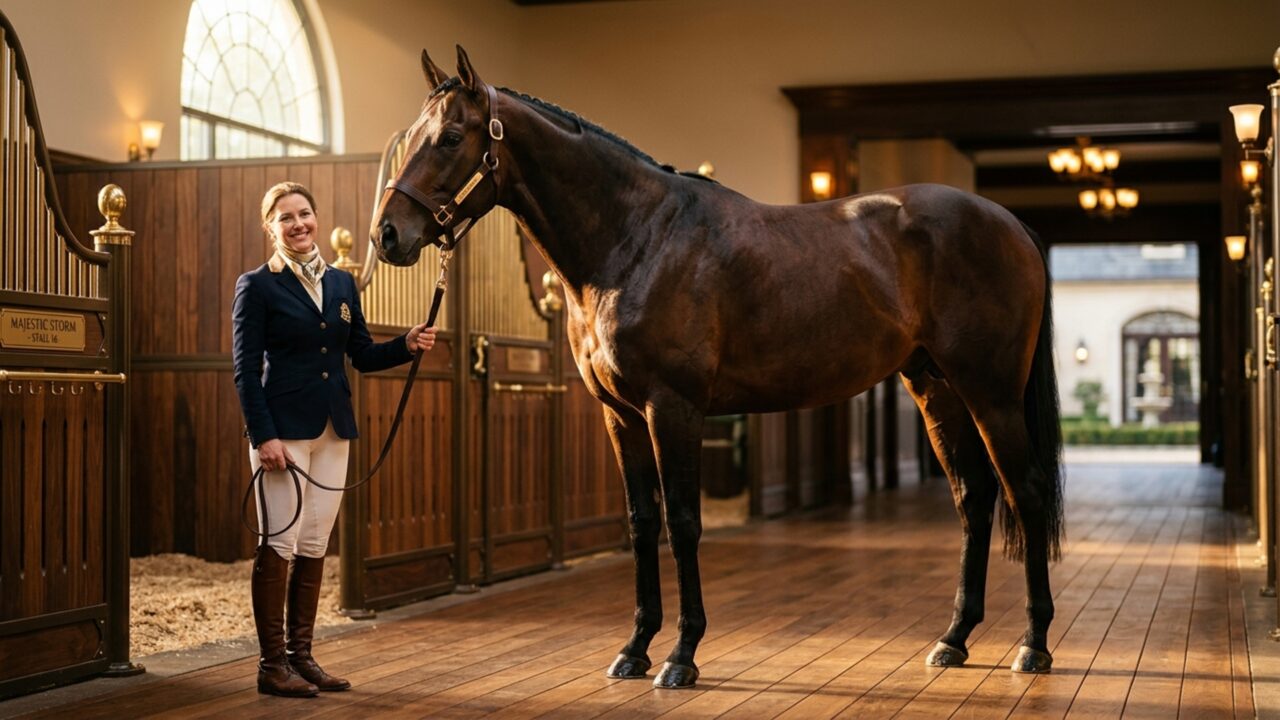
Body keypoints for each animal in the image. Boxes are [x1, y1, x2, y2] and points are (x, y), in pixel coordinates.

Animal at [371, 46, 1064, 689]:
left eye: (452, 137)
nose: (386, 235)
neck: (635, 240)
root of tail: (1010, 223)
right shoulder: (620, 416)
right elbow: (641, 522)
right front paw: (634, 649)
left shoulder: (673, 408)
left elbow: (682, 522)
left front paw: (681, 656)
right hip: (936, 389)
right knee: (974, 497)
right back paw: (954, 639)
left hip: (991, 394)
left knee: (1025, 492)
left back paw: (1033, 646)